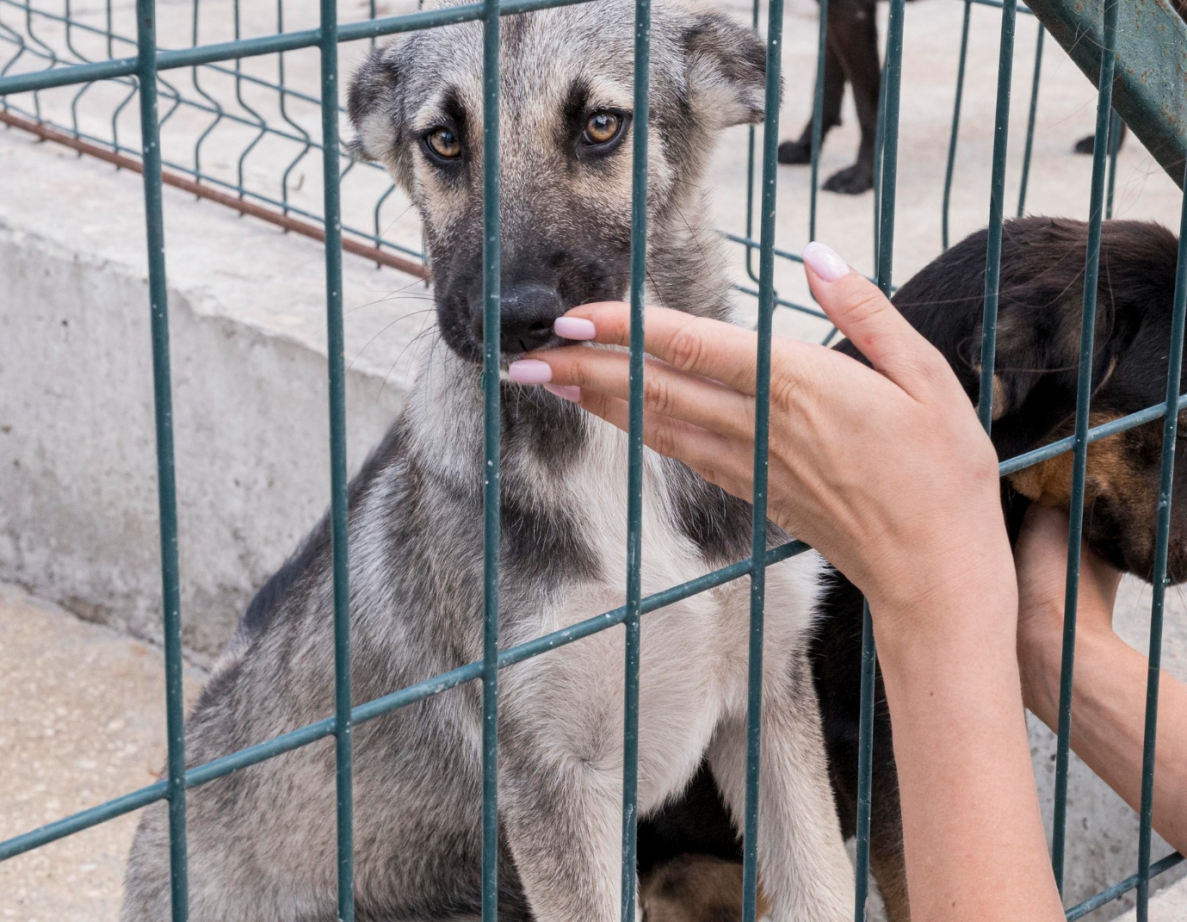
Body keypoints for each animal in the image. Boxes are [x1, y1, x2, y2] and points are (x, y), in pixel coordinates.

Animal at [120, 3, 859, 916]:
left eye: (600, 125)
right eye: (443, 141)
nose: (512, 319)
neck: (612, 452)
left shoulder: (766, 696)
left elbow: (819, 882)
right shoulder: (550, 776)